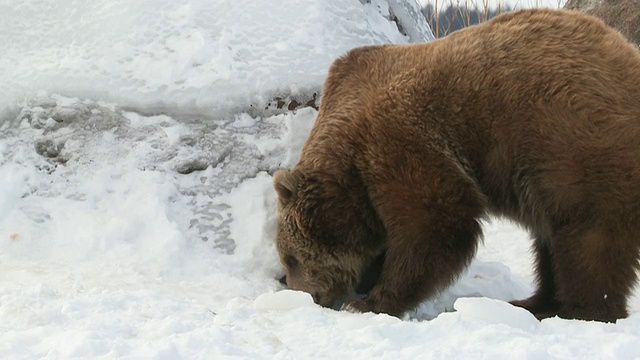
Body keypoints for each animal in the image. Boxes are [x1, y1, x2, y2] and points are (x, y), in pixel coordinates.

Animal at [272, 9, 640, 324]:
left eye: (290, 258)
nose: (300, 292)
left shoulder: (398, 142)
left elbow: (435, 219)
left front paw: (368, 302)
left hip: (575, 145)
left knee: (587, 237)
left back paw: (581, 309)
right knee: (549, 239)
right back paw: (534, 302)